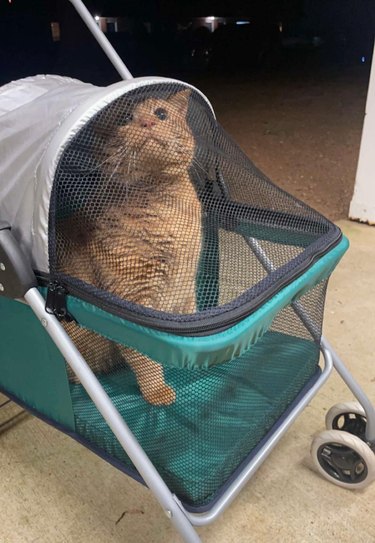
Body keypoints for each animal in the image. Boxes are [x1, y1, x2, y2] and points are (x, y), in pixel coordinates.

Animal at [62, 89, 203, 404]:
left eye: (161, 114)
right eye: (125, 118)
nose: (147, 123)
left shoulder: (185, 291)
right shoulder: (131, 299)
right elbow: (145, 360)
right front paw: (158, 391)